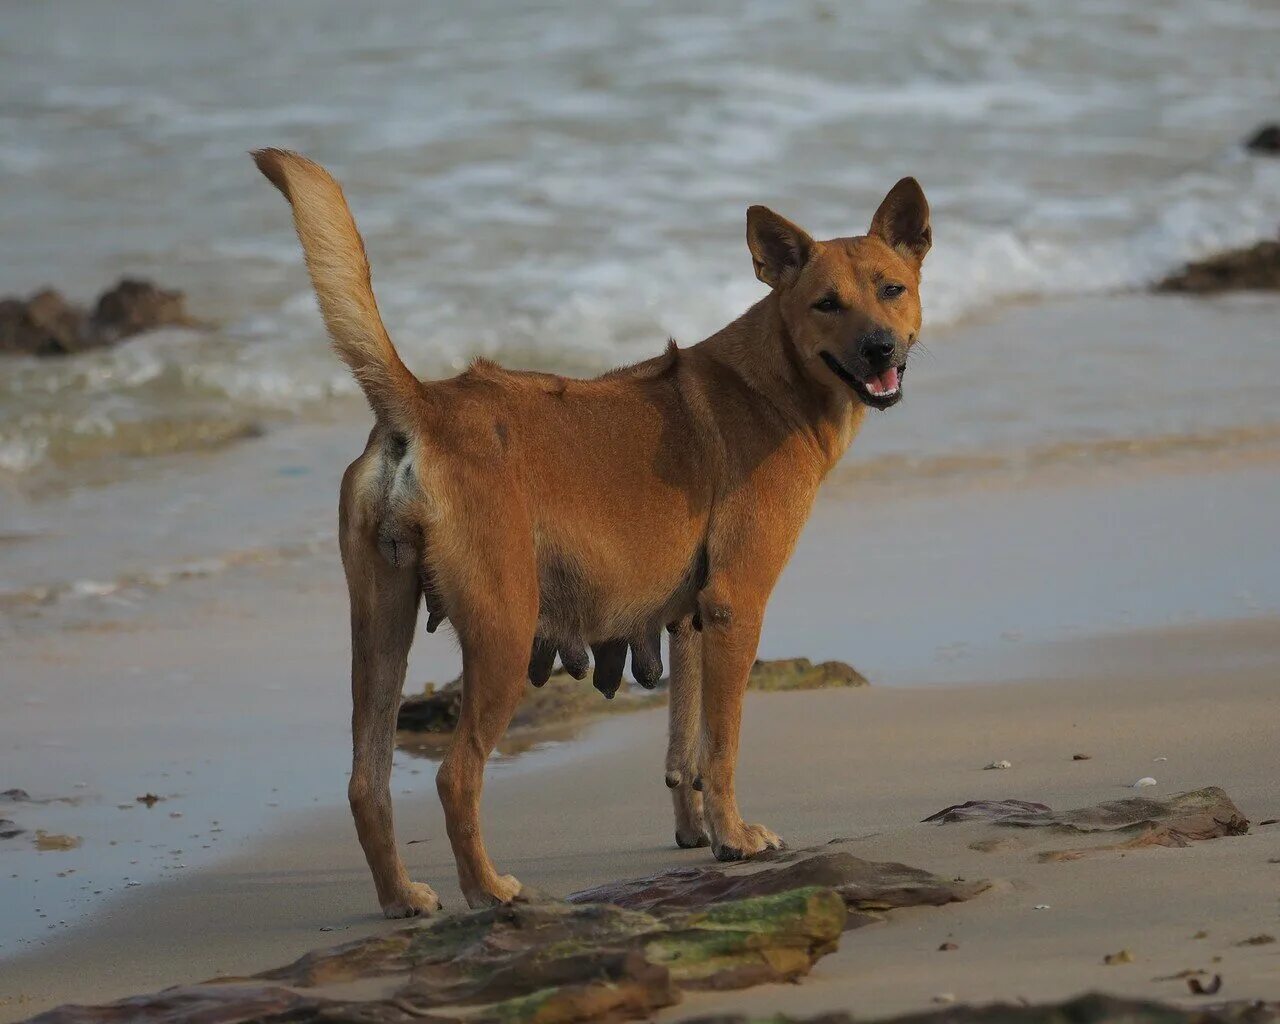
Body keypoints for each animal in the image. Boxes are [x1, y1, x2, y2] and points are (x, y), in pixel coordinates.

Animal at [252, 147, 931, 916]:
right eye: (827, 304)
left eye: (892, 289)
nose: (880, 350)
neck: (772, 380)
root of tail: (423, 406)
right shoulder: (737, 606)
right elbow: (722, 745)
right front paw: (736, 837)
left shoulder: (689, 621)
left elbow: (685, 750)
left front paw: (699, 833)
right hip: (503, 631)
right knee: (456, 776)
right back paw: (490, 890)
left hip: (379, 627)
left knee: (367, 782)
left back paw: (403, 898)